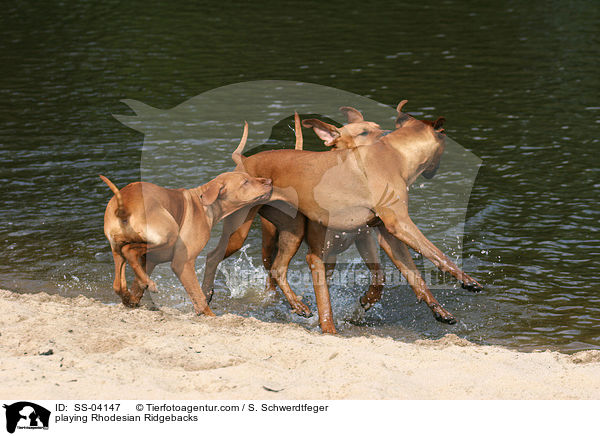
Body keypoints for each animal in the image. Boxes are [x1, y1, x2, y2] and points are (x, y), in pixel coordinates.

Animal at [101, 124, 274, 316]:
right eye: (245, 182)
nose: (269, 181)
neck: (204, 204)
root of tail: (124, 206)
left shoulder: (150, 261)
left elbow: (137, 286)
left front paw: (133, 299)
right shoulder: (182, 262)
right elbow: (199, 298)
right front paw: (210, 316)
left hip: (117, 247)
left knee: (118, 281)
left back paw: (130, 293)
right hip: (168, 234)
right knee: (130, 251)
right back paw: (151, 285)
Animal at [202, 100, 482, 332]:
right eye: (364, 132)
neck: (395, 154)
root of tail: (243, 161)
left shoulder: (383, 234)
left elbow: (412, 276)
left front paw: (440, 312)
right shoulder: (399, 224)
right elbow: (438, 254)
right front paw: (468, 281)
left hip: (294, 230)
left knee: (278, 270)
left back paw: (297, 306)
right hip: (243, 231)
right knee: (216, 256)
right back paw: (206, 295)